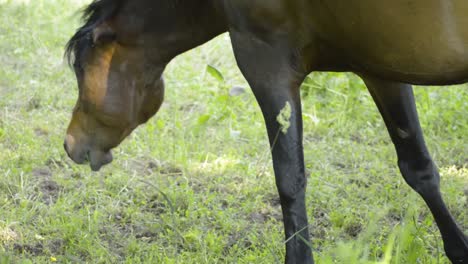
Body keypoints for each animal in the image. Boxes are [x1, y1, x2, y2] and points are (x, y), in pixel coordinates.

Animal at [63, 1, 468, 262]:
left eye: (80, 69)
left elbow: (289, 182)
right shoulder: (380, 67)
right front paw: (459, 249)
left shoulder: (266, 67)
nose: (70, 145)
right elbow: (418, 168)